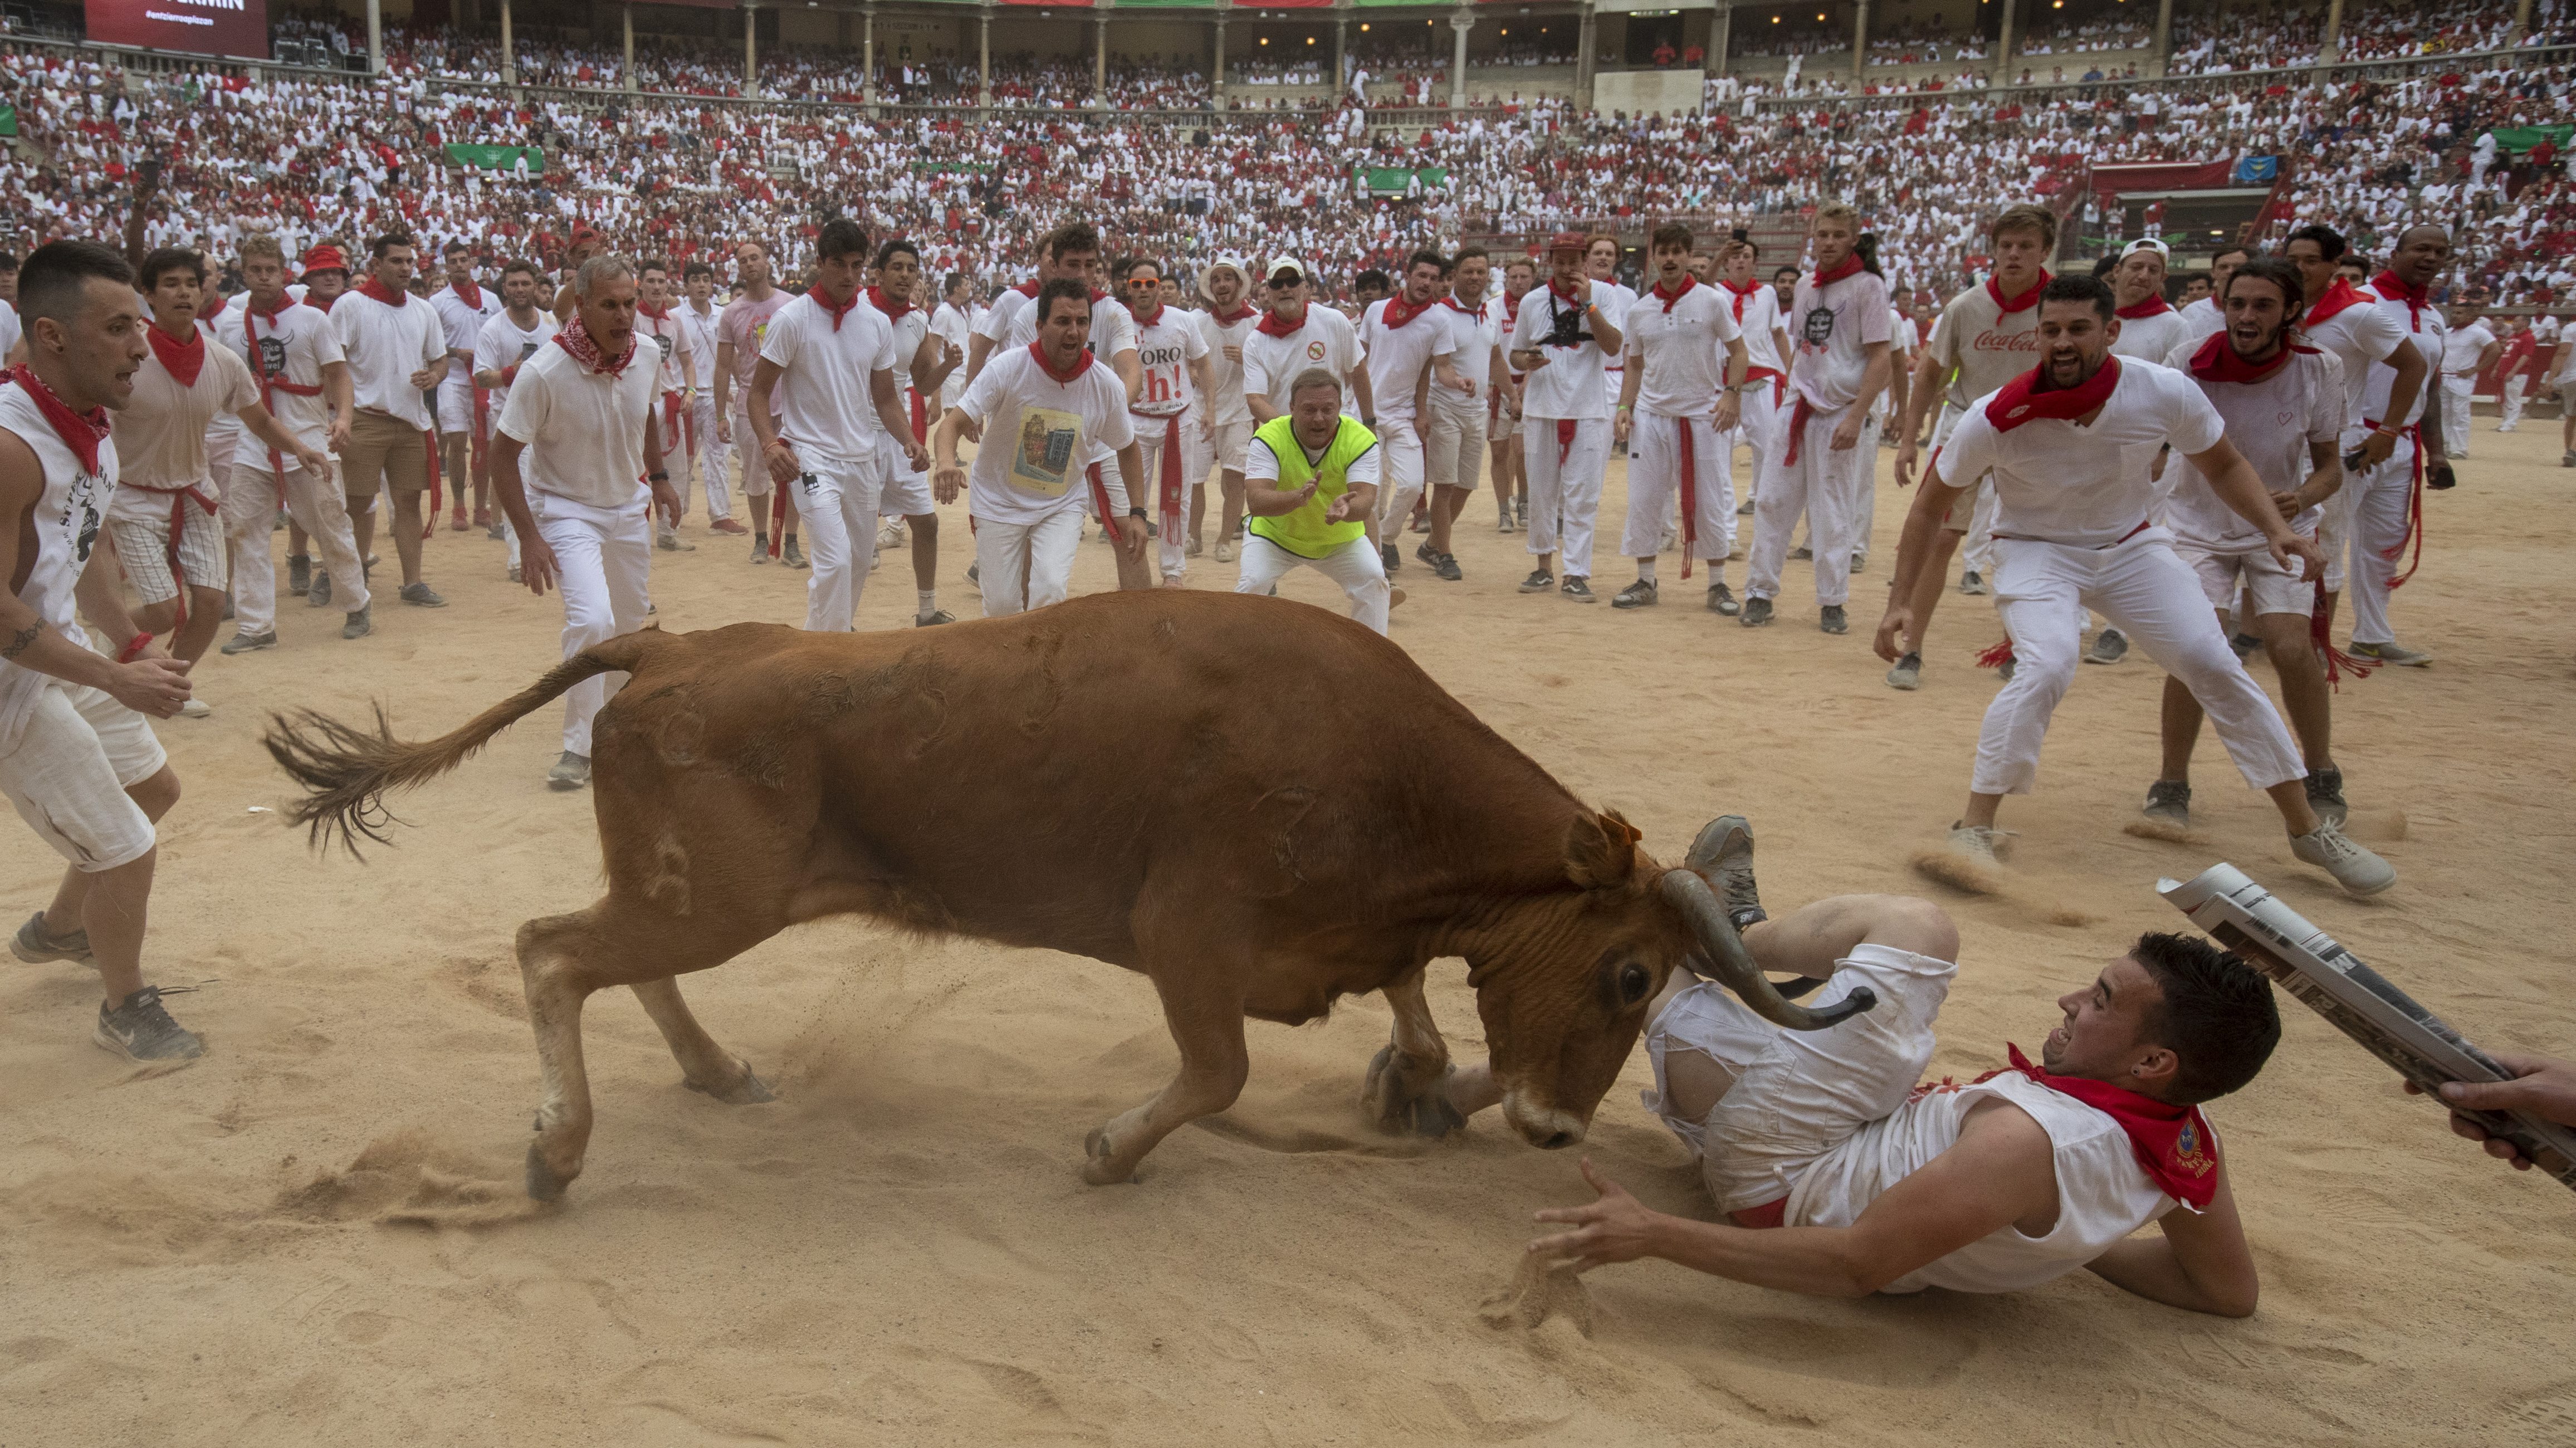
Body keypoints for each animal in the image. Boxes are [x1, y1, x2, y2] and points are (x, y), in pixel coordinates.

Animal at [266, 593, 1875, 1200]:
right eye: (1629, 975)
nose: (1551, 1129)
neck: (1385, 779)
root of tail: (671, 643)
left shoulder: (1353, 937)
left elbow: (1410, 1000)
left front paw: (1412, 1085)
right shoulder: (1188, 942)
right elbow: (1218, 1072)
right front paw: (1110, 1149)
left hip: (695, 889)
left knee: (618, 960)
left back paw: (718, 1074)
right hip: (713, 895)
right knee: (552, 951)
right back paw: (556, 1150)